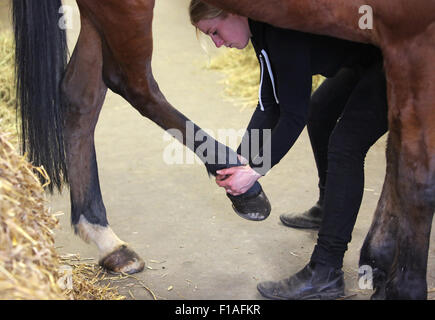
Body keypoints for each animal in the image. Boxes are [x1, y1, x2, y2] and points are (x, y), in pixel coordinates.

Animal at [11, 0, 434, 300]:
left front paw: (379, 263)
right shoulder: (413, 39)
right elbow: (417, 178)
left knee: (79, 95)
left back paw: (108, 241)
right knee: (130, 82)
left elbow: (398, 158)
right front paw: (403, 286)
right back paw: (242, 186)